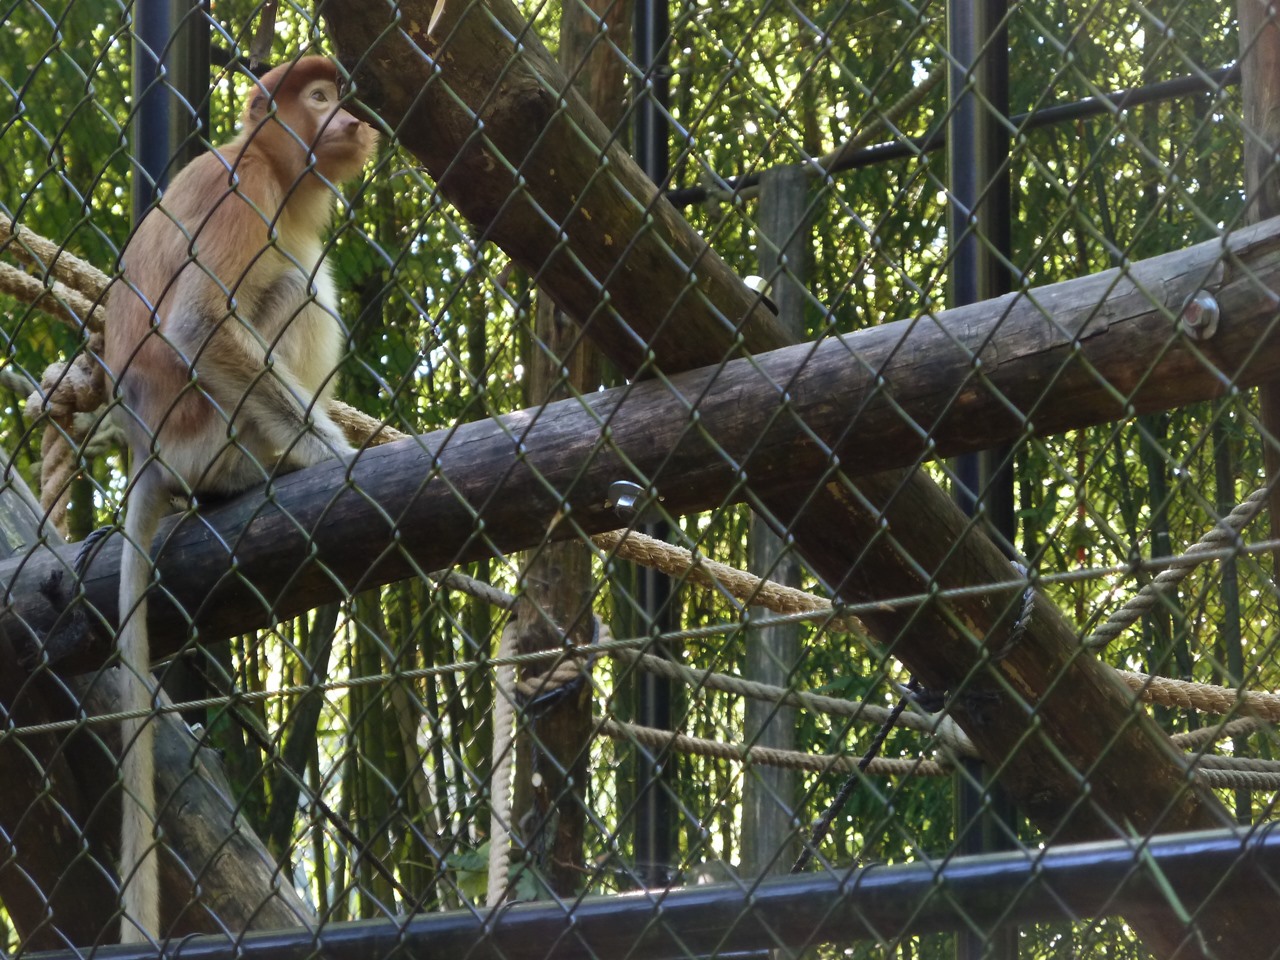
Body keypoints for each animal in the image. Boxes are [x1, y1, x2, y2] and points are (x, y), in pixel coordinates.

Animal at [103, 56, 376, 942]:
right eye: (317, 99)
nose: (351, 118)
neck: (268, 159)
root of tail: (150, 451)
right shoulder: (243, 192)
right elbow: (198, 319)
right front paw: (334, 456)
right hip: (212, 430)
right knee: (298, 279)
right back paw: (269, 470)